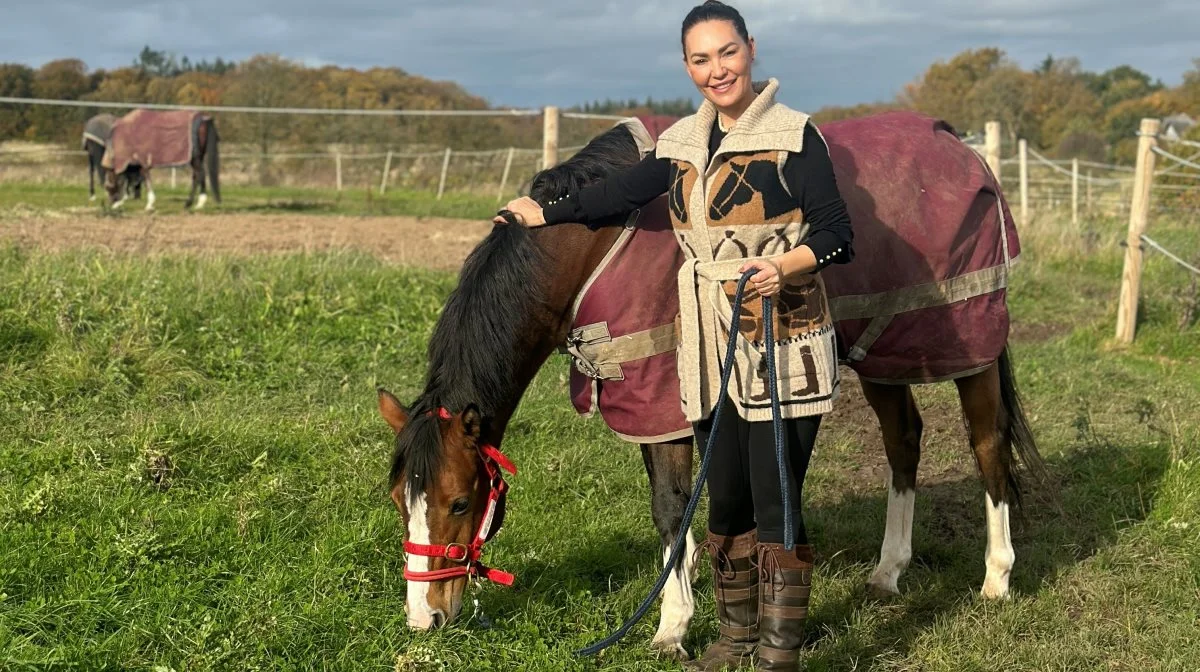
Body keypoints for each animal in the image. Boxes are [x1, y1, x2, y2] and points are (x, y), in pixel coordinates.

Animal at [379, 111, 1046, 657]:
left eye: (459, 502)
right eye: (399, 502)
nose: (424, 619)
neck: (596, 244)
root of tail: (958, 145)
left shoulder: (659, 404)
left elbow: (672, 507)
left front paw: (671, 627)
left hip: (965, 343)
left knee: (987, 443)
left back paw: (996, 577)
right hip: (884, 348)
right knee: (903, 440)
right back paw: (888, 573)